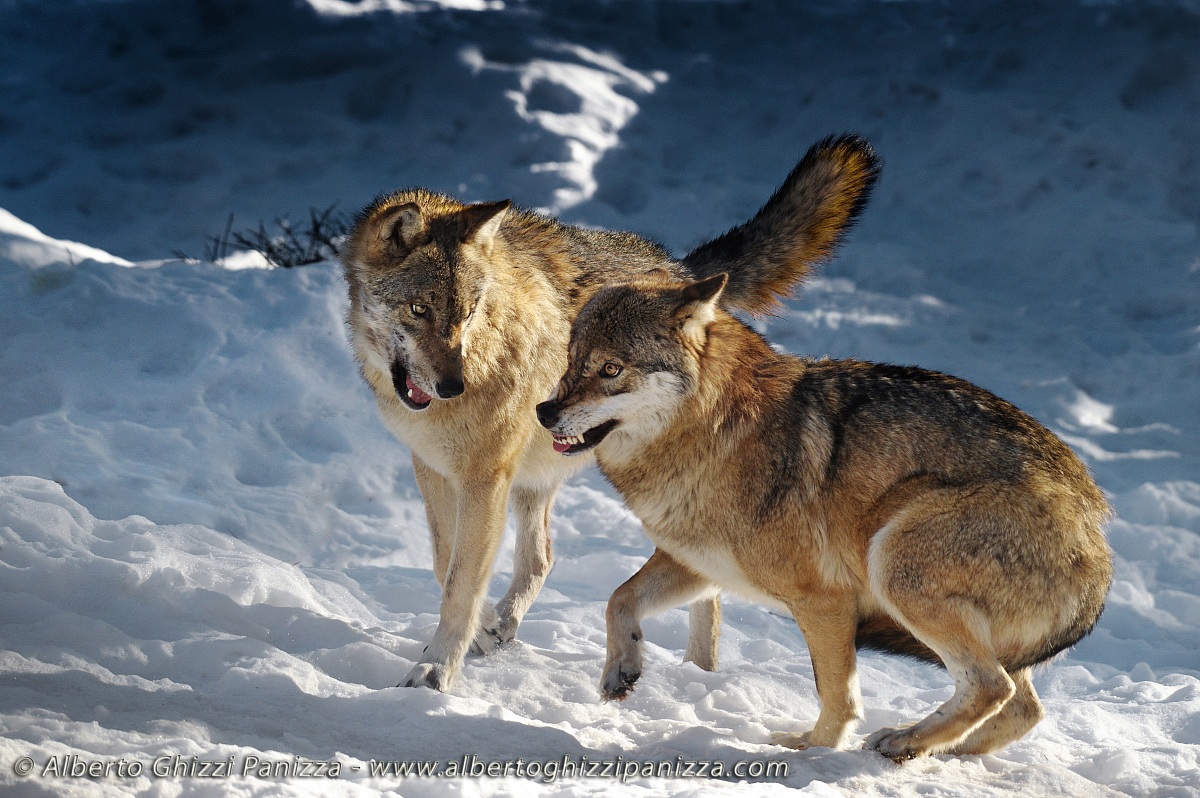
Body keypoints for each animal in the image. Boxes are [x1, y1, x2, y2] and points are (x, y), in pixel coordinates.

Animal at [341, 135, 881, 692]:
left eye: (466, 314)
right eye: (419, 310)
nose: (452, 386)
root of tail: (685, 273)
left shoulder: (483, 478)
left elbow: (460, 584)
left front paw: (435, 669)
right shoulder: (432, 468)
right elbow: (442, 562)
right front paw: (484, 631)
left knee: (704, 593)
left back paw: (699, 672)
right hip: (538, 478)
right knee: (542, 558)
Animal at [536, 272, 1113, 760]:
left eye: (611, 369)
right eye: (571, 359)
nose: (544, 412)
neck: (714, 433)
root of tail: (1099, 537)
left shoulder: (823, 601)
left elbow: (837, 696)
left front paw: (811, 751)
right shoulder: (700, 567)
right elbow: (618, 600)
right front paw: (622, 671)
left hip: (895, 561)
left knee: (993, 686)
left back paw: (904, 742)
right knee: (1023, 706)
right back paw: (941, 752)